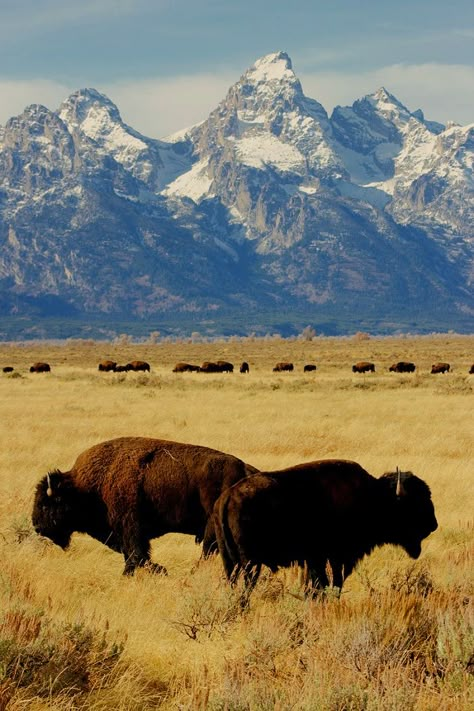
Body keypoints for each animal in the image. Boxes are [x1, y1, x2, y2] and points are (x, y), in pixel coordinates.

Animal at [32, 436, 260, 576]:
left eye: (45, 504)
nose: (36, 526)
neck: (84, 487)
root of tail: (246, 470)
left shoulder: (130, 529)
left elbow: (136, 556)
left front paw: (158, 572)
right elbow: (135, 556)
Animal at [215, 458, 436, 596]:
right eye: (414, 503)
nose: (433, 525)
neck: (372, 497)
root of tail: (227, 497)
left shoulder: (316, 561)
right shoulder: (333, 559)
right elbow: (329, 585)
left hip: (231, 563)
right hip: (250, 565)